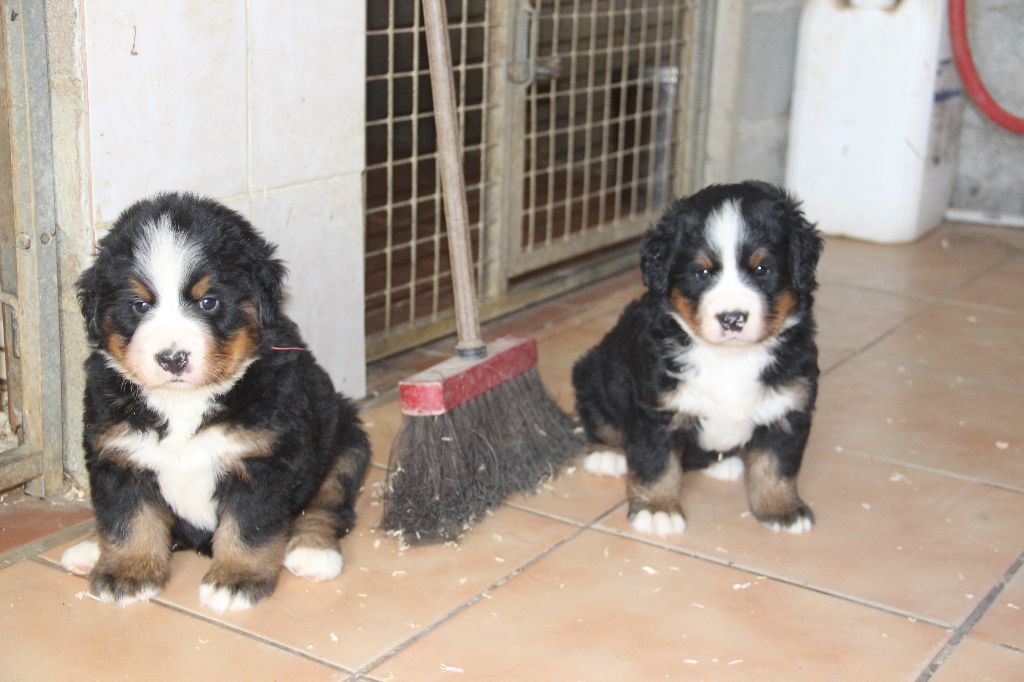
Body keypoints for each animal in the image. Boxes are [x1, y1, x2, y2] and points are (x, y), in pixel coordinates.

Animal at [60, 191, 372, 610]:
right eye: (140, 305)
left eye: (208, 302)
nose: (172, 357)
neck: (184, 403)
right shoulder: (118, 455)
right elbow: (128, 521)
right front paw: (128, 572)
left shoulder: (261, 460)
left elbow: (248, 529)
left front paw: (235, 579)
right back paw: (89, 549)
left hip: (346, 438)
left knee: (327, 504)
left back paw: (313, 551)